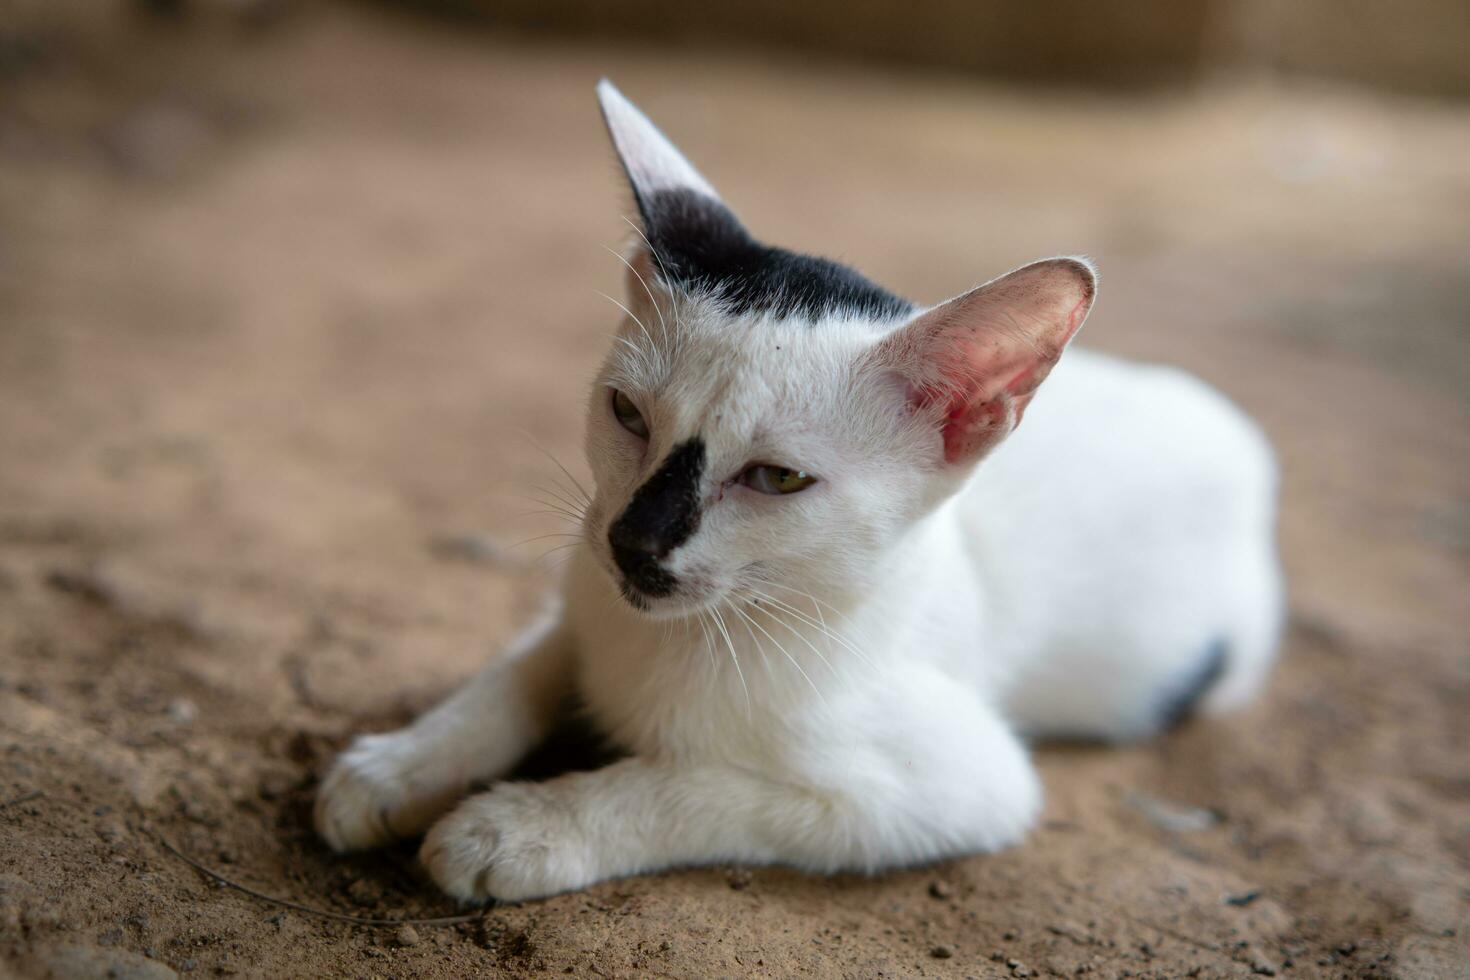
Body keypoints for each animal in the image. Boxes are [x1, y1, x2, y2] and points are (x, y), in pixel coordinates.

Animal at [316, 80, 1281, 899]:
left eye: (778, 477)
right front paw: (400, 765)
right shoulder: (584, 595)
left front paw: (520, 829)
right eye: (627, 413)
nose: (635, 542)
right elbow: (523, 671)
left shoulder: (954, 783)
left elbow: (692, 787)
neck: (702, 636)